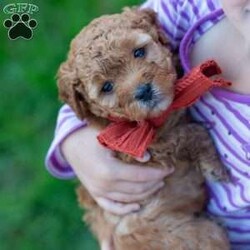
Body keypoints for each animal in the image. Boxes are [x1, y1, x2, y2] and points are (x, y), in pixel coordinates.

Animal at [57, 7, 229, 250]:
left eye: (139, 52)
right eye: (107, 87)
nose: (144, 91)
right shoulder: (143, 153)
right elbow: (192, 133)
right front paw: (215, 167)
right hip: (205, 235)